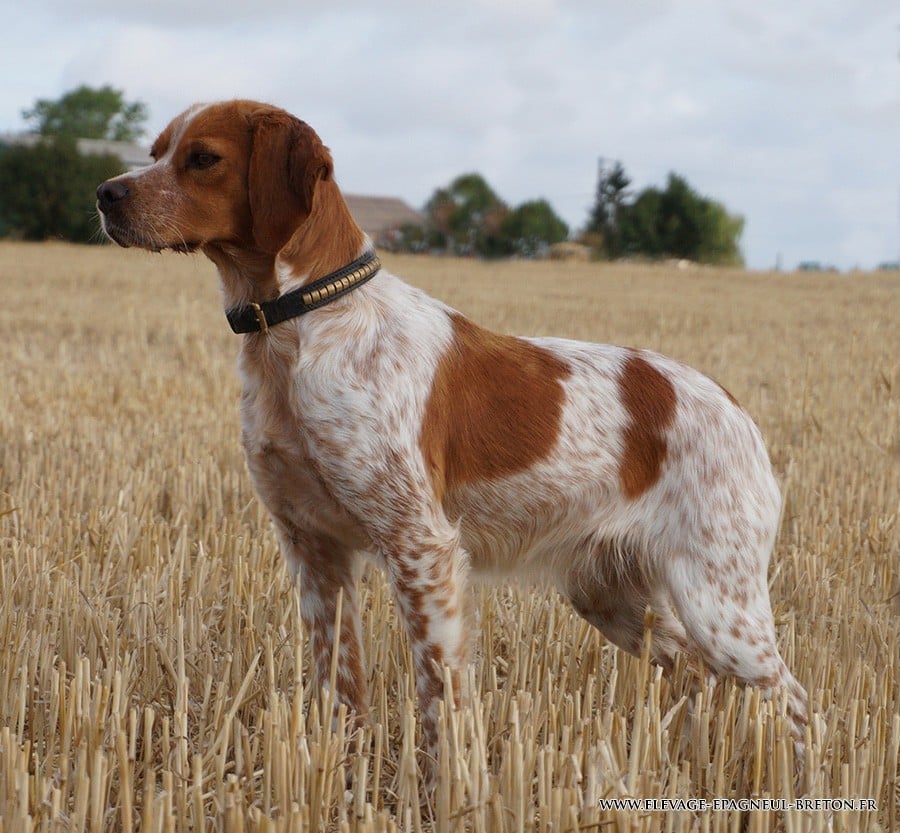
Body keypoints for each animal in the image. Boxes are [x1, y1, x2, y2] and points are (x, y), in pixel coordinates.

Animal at [98, 101, 808, 772]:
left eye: (202, 158)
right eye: (155, 152)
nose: (105, 193)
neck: (303, 324)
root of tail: (737, 411)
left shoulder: (421, 545)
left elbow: (441, 699)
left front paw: (447, 790)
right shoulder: (315, 550)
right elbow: (341, 691)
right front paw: (345, 778)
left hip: (719, 604)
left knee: (794, 699)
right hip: (611, 595)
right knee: (694, 674)